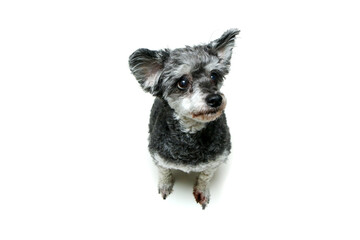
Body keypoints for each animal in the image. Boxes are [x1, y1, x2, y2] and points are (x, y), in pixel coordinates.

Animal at [129, 27, 239, 208]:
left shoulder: (216, 160)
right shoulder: (159, 156)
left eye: (214, 76)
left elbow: (205, 177)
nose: (216, 99)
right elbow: (164, 172)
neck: (190, 135)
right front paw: (165, 185)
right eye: (182, 82)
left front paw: (202, 192)